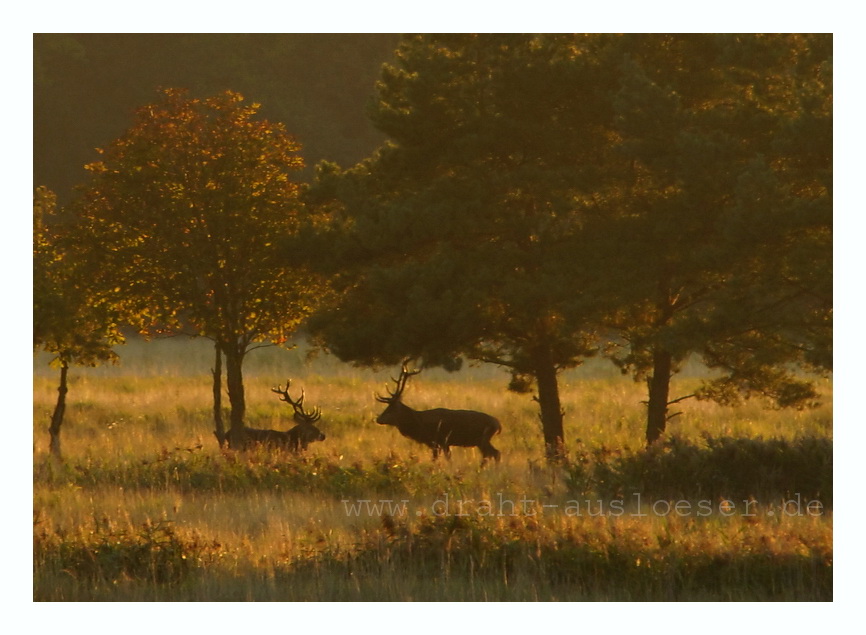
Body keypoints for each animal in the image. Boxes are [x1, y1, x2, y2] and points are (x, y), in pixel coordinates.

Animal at [372, 362, 500, 462]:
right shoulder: (439, 443)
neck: (421, 425)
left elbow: (442, 460)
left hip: (483, 439)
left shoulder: (440, 441)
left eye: (391, 409)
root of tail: (498, 425)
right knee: (491, 454)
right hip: (482, 441)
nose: (378, 419)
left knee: (495, 453)